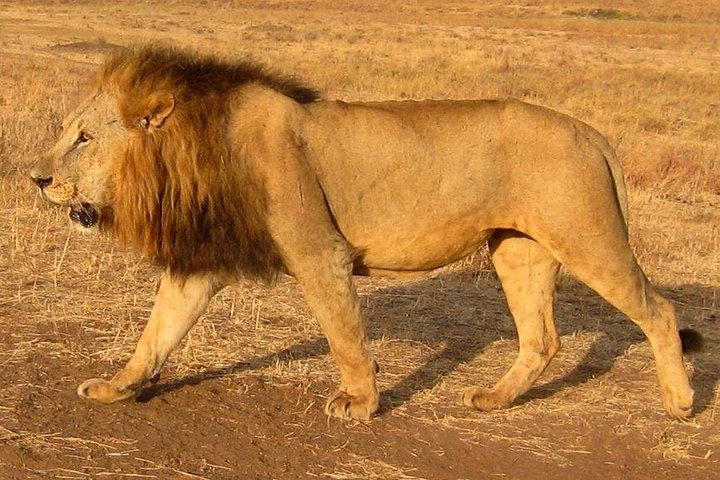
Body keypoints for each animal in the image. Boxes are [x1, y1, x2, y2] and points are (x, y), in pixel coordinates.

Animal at [31, 46, 702, 420]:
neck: (193, 151)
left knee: (660, 310)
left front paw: (358, 404)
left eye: (84, 138)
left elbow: (344, 336)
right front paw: (116, 389)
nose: (36, 179)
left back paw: (680, 403)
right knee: (542, 340)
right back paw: (492, 401)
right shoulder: (202, 263)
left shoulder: (319, 252)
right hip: (519, 252)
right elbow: (156, 335)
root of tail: (590, 132)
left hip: (587, 237)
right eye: (67, 131)